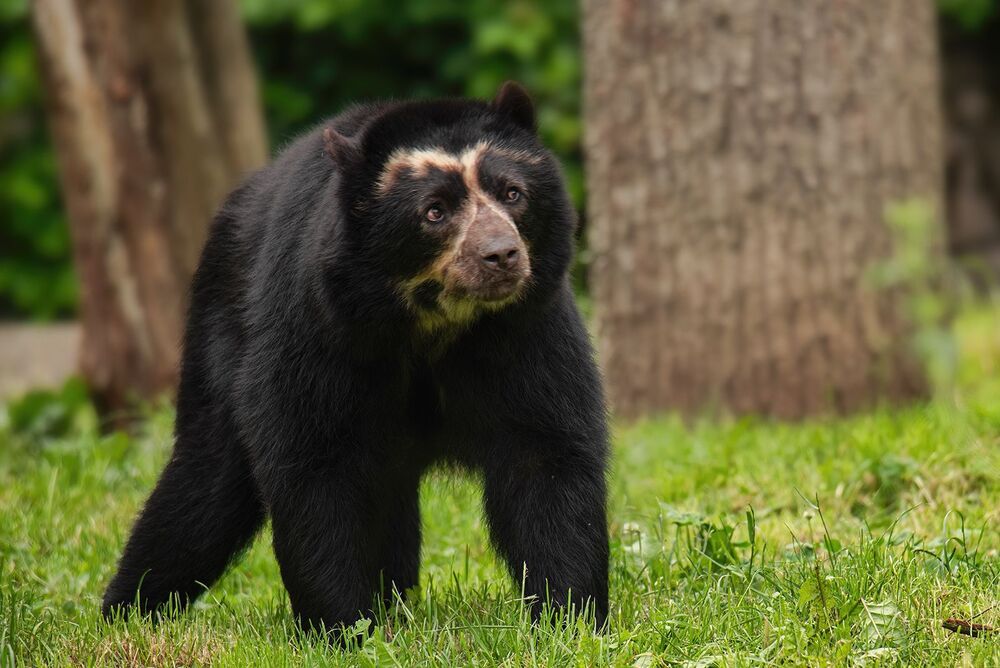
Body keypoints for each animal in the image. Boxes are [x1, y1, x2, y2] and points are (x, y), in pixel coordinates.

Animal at [101, 82, 610, 634]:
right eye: (434, 211)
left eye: (513, 193)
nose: (501, 255)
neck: (433, 322)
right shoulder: (320, 330)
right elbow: (315, 463)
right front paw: (343, 628)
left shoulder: (527, 330)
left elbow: (547, 453)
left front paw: (571, 619)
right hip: (221, 330)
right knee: (205, 486)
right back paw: (128, 610)